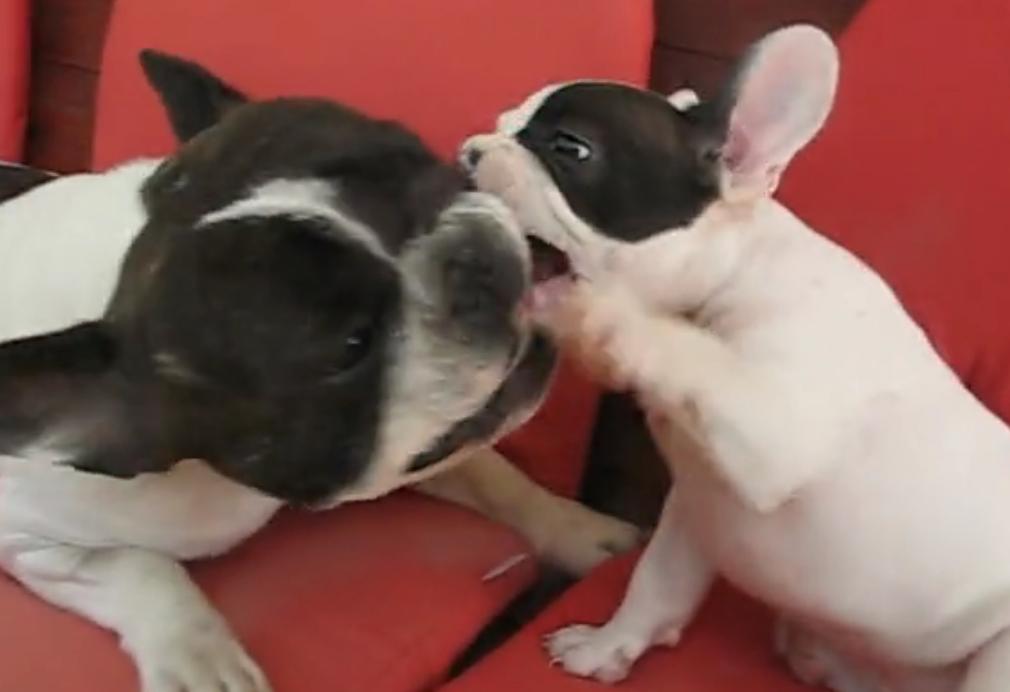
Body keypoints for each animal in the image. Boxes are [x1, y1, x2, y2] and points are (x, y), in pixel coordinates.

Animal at [462, 24, 1010, 690]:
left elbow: (691, 355)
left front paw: (593, 312)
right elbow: (658, 584)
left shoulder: (777, 431)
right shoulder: (698, 505)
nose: (469, 151)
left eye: (571, 147)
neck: (733, 276)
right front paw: (609, 647)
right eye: (503, 122)